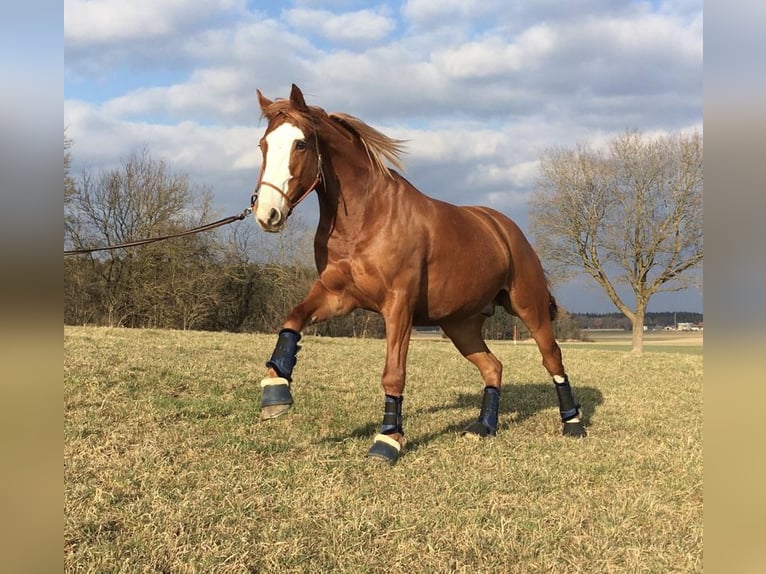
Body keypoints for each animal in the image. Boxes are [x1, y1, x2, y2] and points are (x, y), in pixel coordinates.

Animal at [252, 83, 588, 466]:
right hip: (461, 325)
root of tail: (505, 228)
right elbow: (292, 319)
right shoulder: (337, 296)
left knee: (552, 358)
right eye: (263, 145)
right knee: (493, 367)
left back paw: (573, 423)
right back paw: (483, 426)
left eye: (300, 144)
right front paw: (275, 393)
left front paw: (388, 440)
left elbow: (393, 374)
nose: (267, 214)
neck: (368, 216)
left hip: (529, 308)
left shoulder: (398, 306)